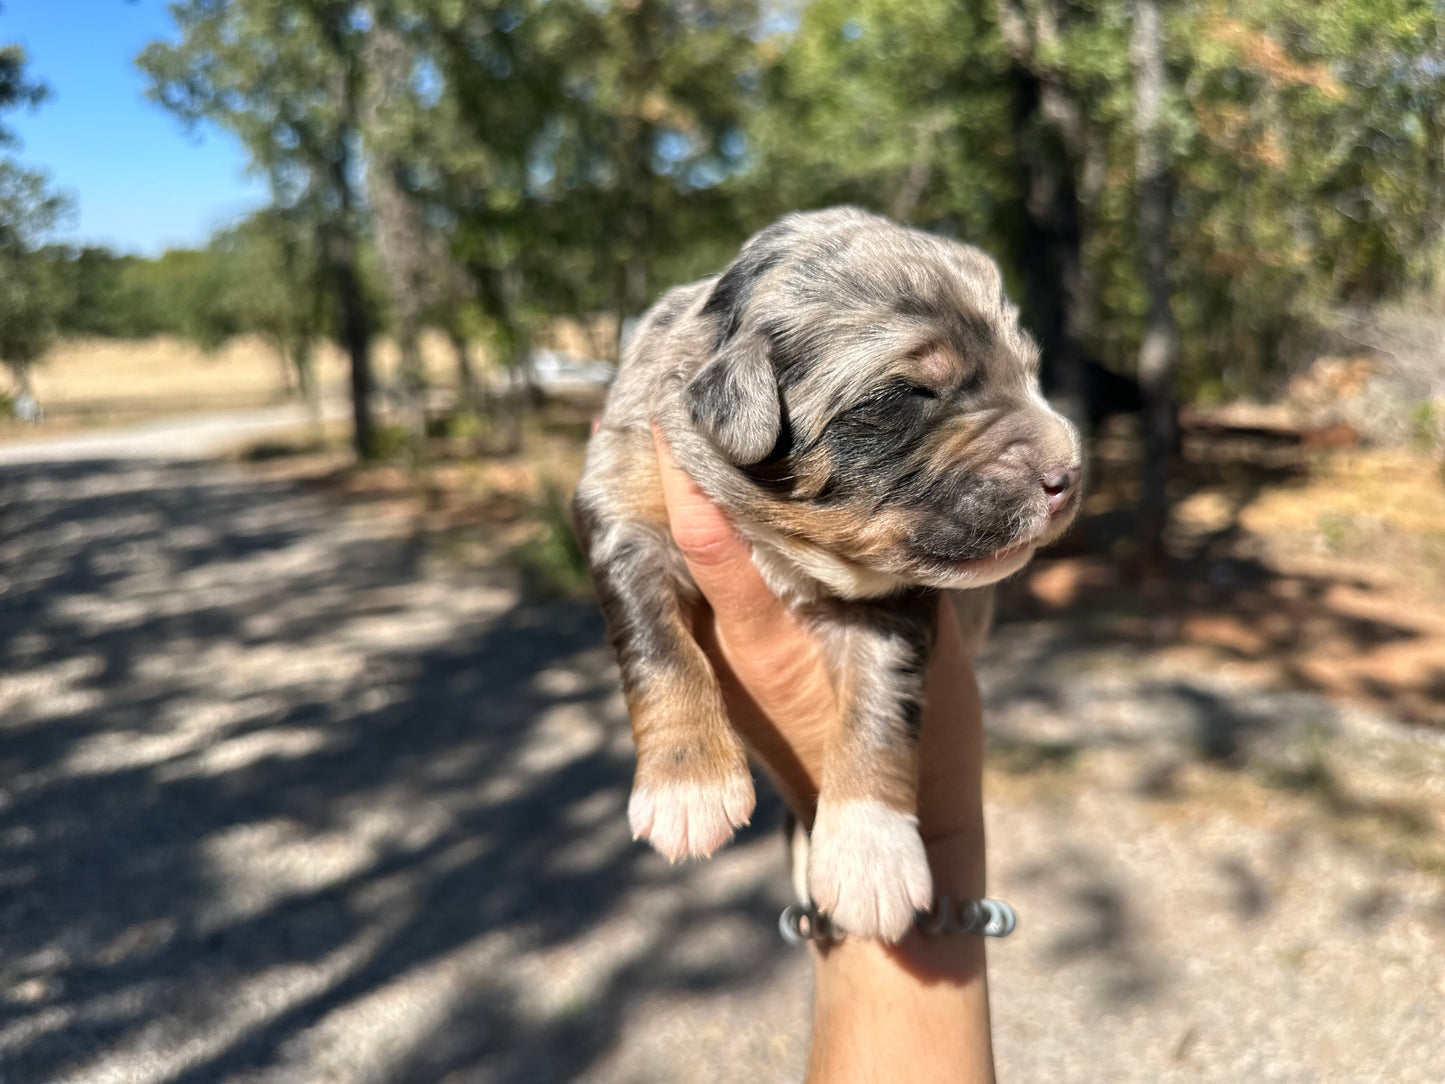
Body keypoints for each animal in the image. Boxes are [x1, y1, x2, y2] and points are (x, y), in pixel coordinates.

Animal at [569, 205, 1080, 942]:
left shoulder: (894, 596)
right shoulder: (621, 500)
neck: (782, 538)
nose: (1070, 475)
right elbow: (658, 646)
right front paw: (687, 785)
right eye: (914, 393)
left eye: (1030, 372)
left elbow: (879, 704)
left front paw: (871, 853)